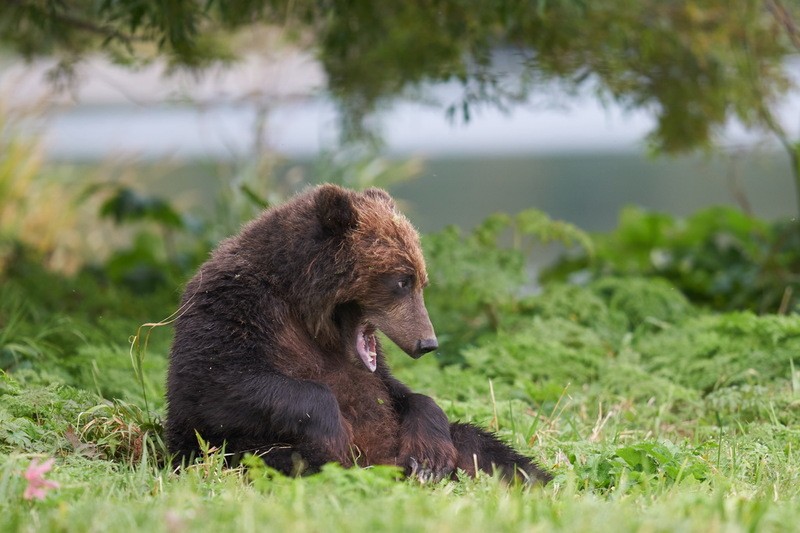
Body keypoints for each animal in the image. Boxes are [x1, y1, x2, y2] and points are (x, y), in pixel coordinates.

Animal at [162, 185, 552, 484]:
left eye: (421, 281)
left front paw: (429, 457)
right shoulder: (236, 307)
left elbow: (401, 393)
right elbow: (217, 383)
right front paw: (334, 431)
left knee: (481, 445)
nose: (427, 343)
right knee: (277, 455)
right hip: (243, 446)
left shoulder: (375, 366)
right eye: (402, 281)